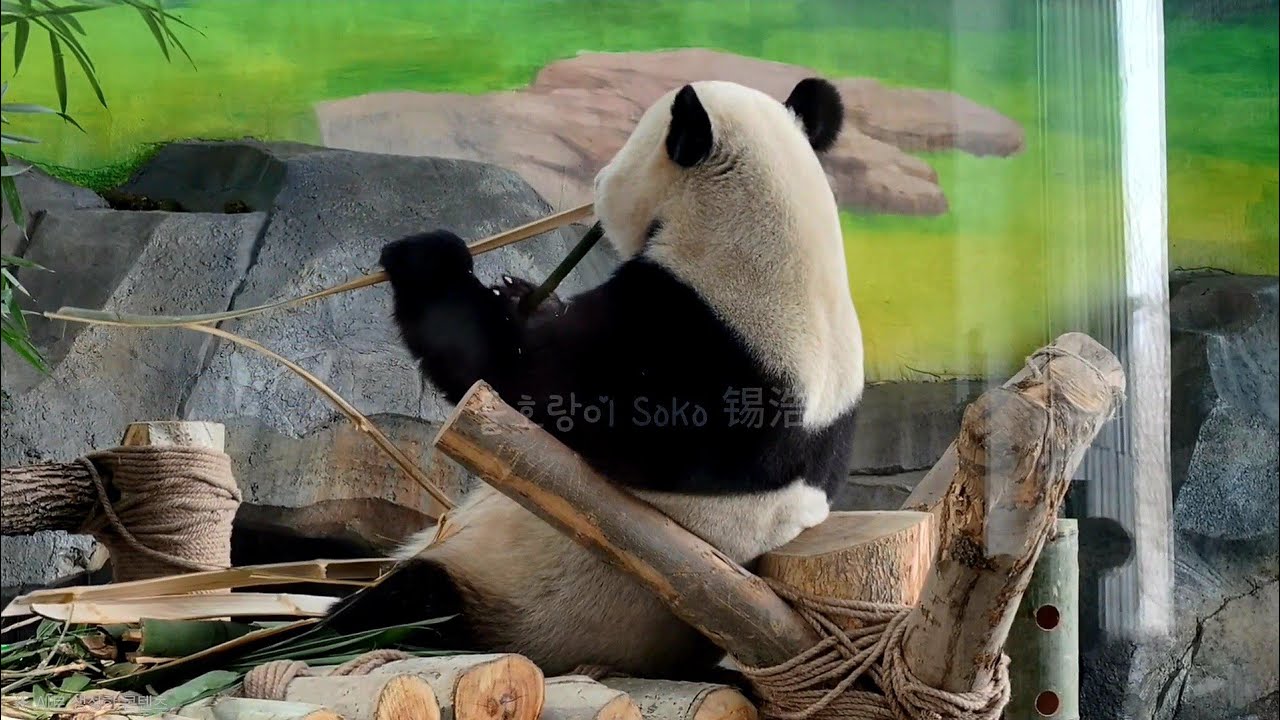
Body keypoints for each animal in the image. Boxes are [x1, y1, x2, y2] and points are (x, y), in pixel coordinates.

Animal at [325, 76, 865, 684]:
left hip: (524, 603)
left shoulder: (691, 348)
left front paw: (429, 259)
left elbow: (515, 377)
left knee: (411, 605)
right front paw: (525, 294)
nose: (598, 182)